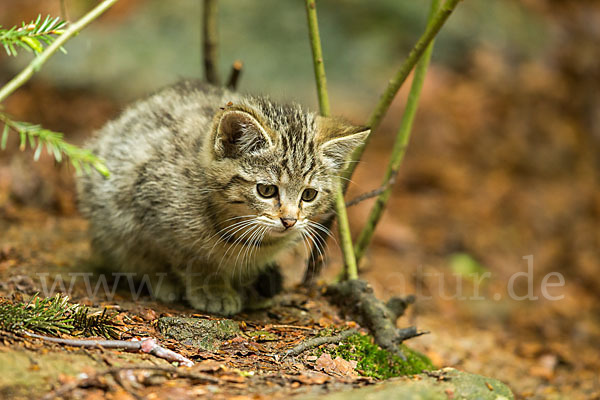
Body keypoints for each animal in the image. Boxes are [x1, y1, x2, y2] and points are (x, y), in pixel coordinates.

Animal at [77, 79, 368, 314]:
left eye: (308, 194)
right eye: (266, 190)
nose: (289, 221)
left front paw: (248, 285)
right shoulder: (149, 207)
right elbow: (189, 257)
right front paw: (211, 289)